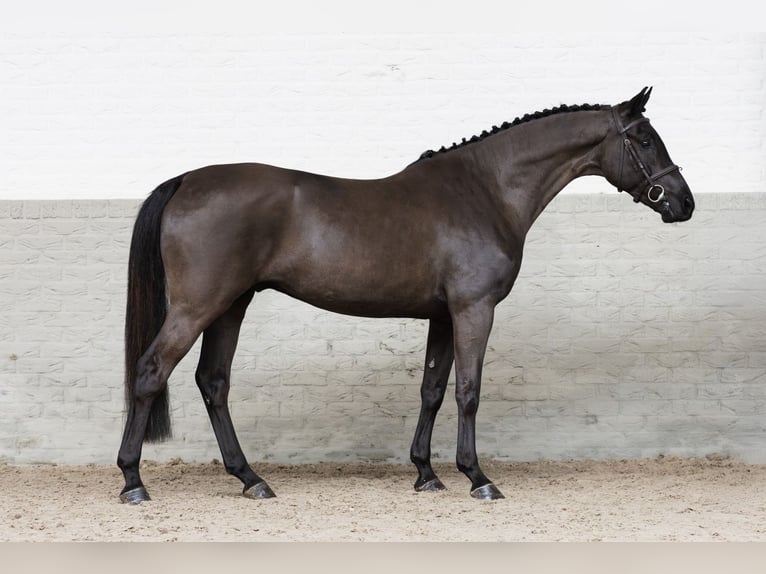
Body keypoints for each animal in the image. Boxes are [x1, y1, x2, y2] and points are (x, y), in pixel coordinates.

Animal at [117, 87, 694, 503]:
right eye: (645, 139)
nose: (683, 203)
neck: (484, 191)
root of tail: (186, 180)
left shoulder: (442, 316)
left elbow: (432, 390)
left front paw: (426, 474)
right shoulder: (473, 310)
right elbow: (468, 391)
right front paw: (477, 477)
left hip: (231, 306)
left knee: (213, 382)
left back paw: (250, 479)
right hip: (199, 306)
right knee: (151, 372)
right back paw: (133, 482)